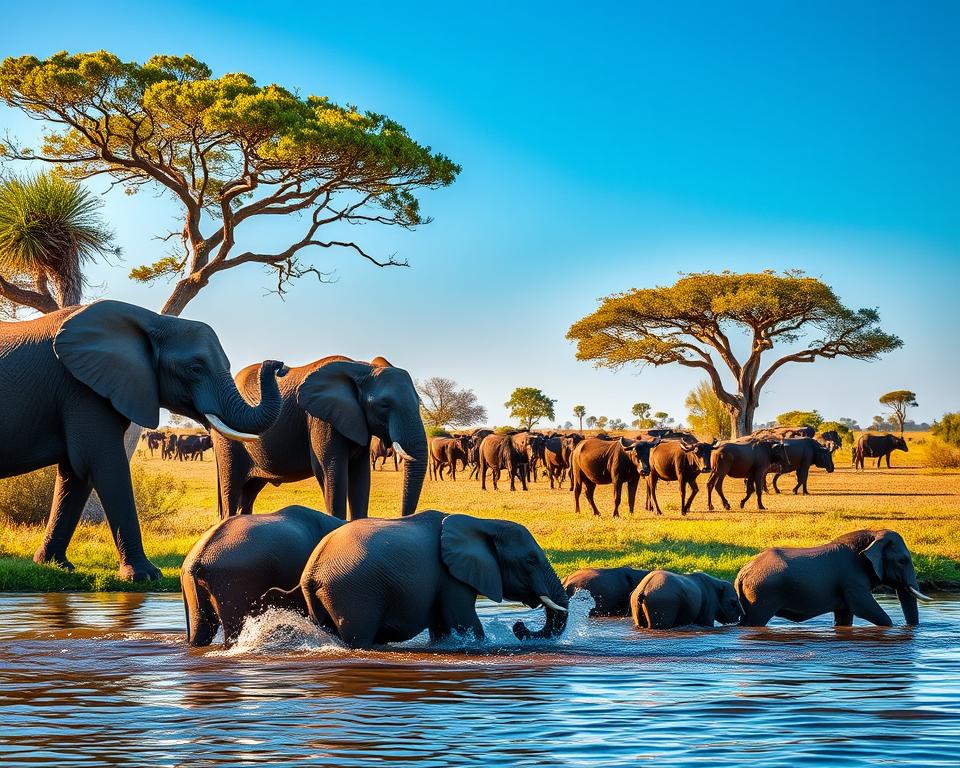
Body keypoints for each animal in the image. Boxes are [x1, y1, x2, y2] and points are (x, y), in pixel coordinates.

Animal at [0, 300, 285, 580]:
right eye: (195, 369)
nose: (277, 365)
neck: (152, 320)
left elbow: (76, 474)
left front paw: (56, 566)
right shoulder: (81, 390)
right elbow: (105, 465)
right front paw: (145, 576)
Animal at [213, 355, 427, 520]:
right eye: (384, 405)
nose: (403, 519)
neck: (362, 368)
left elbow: (361, 477)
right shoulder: (320, 420)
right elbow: (330, 472)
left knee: (249, 492)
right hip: (227, 440)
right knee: (231, 490)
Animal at [282, 510, 569, 648]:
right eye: (530, 561)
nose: (518, 625)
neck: (485, 523)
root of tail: (311, 571)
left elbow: (444, 628)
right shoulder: (451, 577)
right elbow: (465, 622)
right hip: (351, 591)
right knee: (359, 639)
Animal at [735, 529, 931, 627]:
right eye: (902, 561)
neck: (874, 534)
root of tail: (742, 573)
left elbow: (845, 616)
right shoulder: (852, 580)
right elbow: (863, 608)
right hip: (763, 594)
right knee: (754, 621)